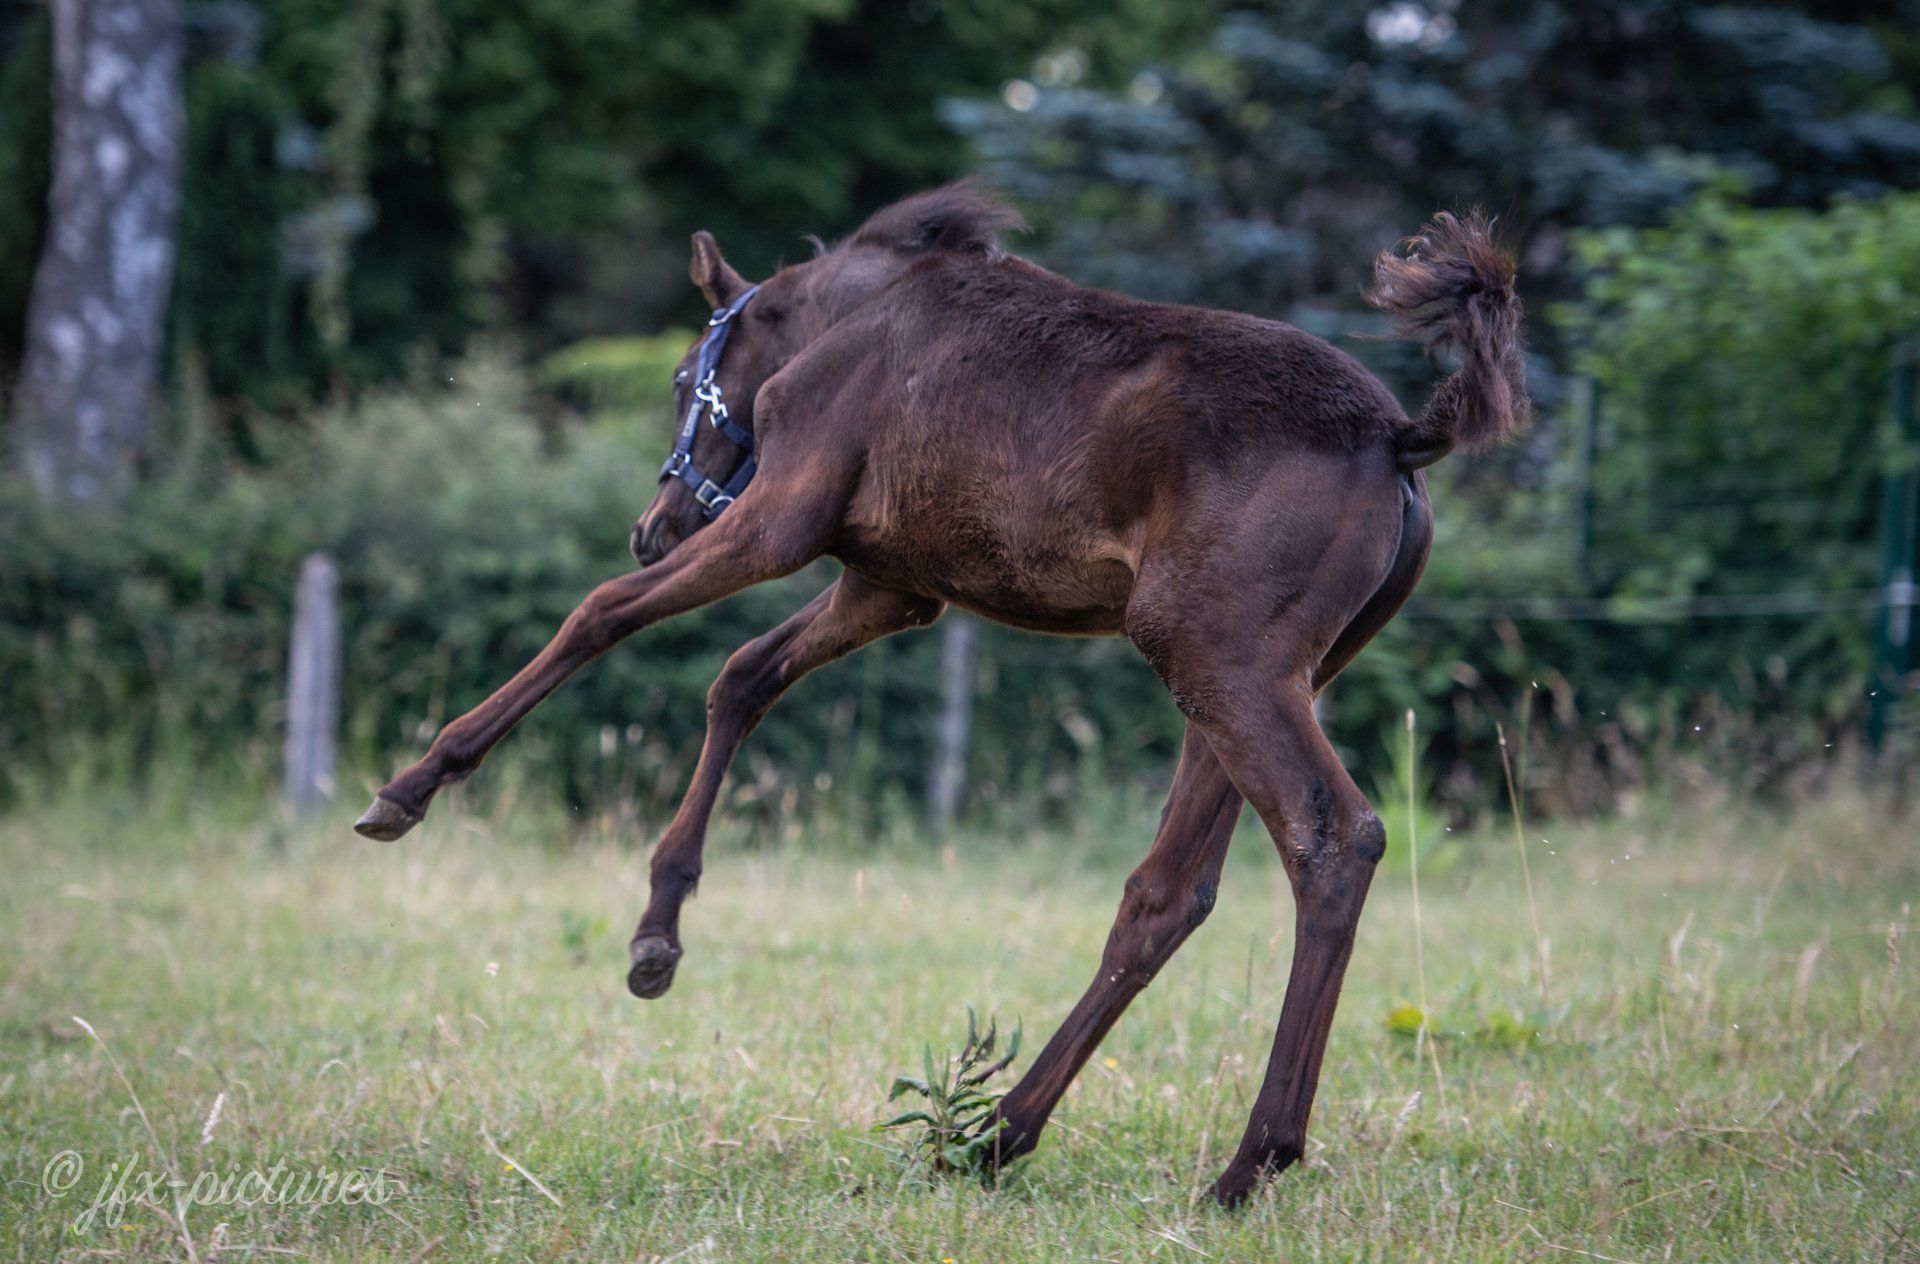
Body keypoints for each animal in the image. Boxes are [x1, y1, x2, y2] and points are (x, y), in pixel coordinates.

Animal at [354, 184, 1529, 1204]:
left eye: (691, 371)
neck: (852, 322)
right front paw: (658, 935)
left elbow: (600, 613)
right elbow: (742, 678)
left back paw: (1249, 1162)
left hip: (1223, 662)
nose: (655, 523)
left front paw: (412, 785)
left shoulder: (783, 516)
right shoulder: (892, 584)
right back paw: (993, 1136)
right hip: (1263, 673)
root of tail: (1400, 443)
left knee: (1335, 837)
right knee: (1167, 893)